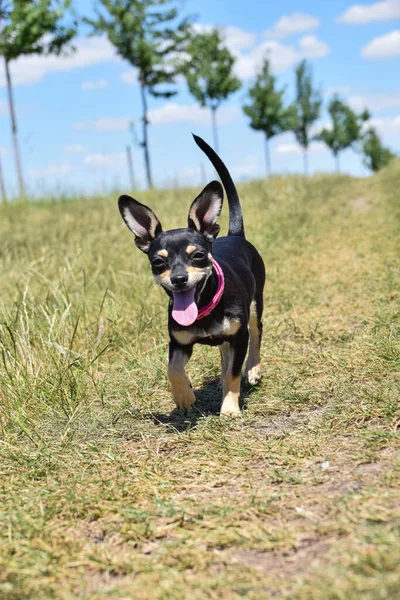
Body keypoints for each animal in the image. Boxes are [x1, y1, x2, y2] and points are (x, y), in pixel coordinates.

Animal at [119, 135, 266, 418]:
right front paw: (184, 396)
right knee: (223, 350)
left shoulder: (239, 335)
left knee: (256, 333)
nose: (179, 279)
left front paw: (229, 407)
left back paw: (253, 369)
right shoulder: (178, 342)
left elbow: (234, 373)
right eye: (158, 261)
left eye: (197, 255)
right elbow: (173, 369)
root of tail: (235, 234)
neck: (204, 309)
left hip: (256, 305)